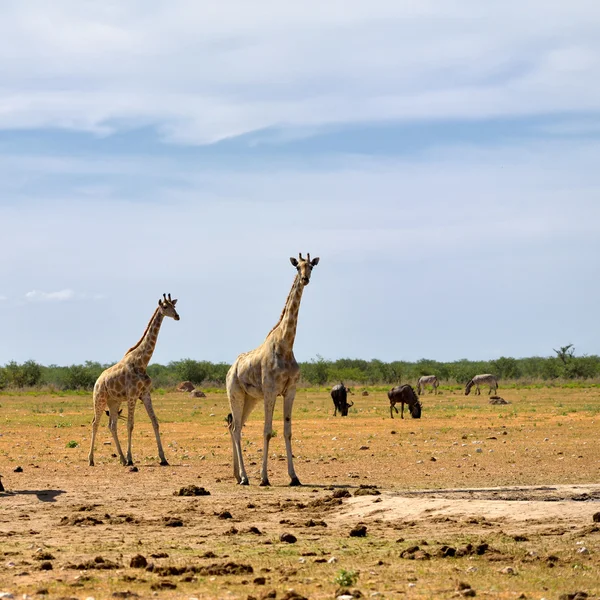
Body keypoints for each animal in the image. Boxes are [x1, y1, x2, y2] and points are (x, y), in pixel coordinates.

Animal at [88, 292, 179, 466]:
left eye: (175, 306)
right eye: (165, 306)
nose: (177, 316)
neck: (142, 362)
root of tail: (97, 381)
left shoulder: (145, 394)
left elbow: (155, 422)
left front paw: (163, 458)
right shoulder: (132, 395)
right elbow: (130, 425)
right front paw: (131, 458)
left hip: (114, 401)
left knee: (112, 425)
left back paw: (122, 459)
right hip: (100, 398)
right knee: (95, 423)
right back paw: (92, 460)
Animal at [226, 251, 318, 486]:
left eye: (311, 266)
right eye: (297, 267)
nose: (305, 279)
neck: (286, 345)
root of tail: (230, 369)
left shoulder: (290, 391)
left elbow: (287, 431)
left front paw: (294, 477)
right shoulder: (270, 391)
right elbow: (267, 431)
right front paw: (264, 478)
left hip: (250, 399)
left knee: (234, 427)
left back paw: (237, 475)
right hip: (235, 394)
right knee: (236, 428)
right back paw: (245, 477)